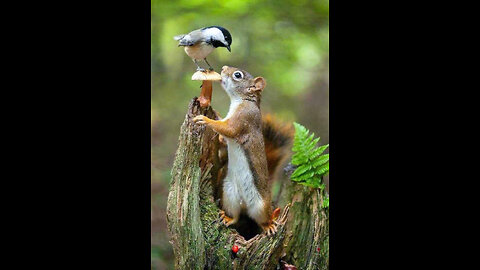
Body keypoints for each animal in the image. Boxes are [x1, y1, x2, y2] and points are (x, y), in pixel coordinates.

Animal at [194, 66, 292, 236]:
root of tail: (245, 204)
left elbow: (228, 129)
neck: (242, 100)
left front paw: (205, 120)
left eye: (237, 75)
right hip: (229, 194)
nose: (223, 68)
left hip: (261, 207)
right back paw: (228, 218)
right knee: (236, 215)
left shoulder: (244, 119)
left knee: (262, 219)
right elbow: (225, 137)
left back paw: (269, 225)